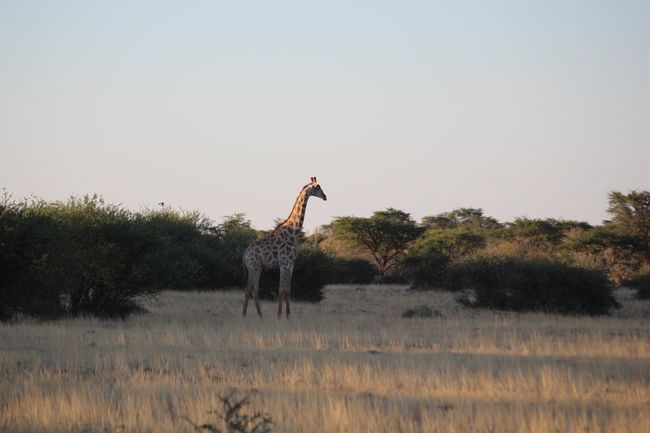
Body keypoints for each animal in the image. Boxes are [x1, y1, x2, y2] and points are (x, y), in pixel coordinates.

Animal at [242, 176, 326, 318]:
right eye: (317, 187)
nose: (325, 196)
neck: (292, 233)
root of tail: (244, 255)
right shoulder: (284, 264)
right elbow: (281, 290)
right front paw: (280, 316)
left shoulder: (291, 265)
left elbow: (288, 290)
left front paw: (288, 316)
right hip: (255, 267)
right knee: (253, 290)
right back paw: (258, 316)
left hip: (253, 268)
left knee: (249, 289)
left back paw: (247, 315)